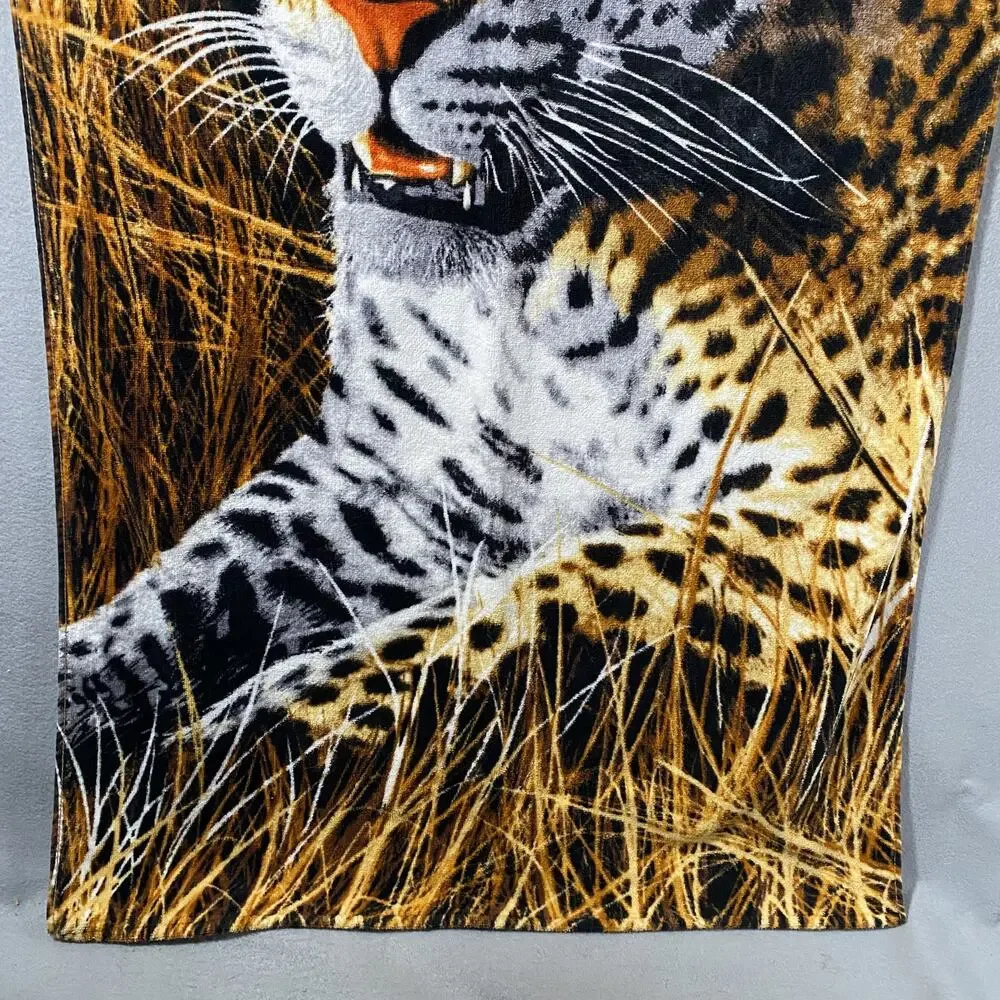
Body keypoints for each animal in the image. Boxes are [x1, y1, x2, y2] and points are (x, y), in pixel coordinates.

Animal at [59, 0, 999, 782]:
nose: (374, 38)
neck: (541, 282)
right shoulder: (402, 467)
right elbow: (189, 590)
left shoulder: (832, 519)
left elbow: (499, 619)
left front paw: (182, 789)